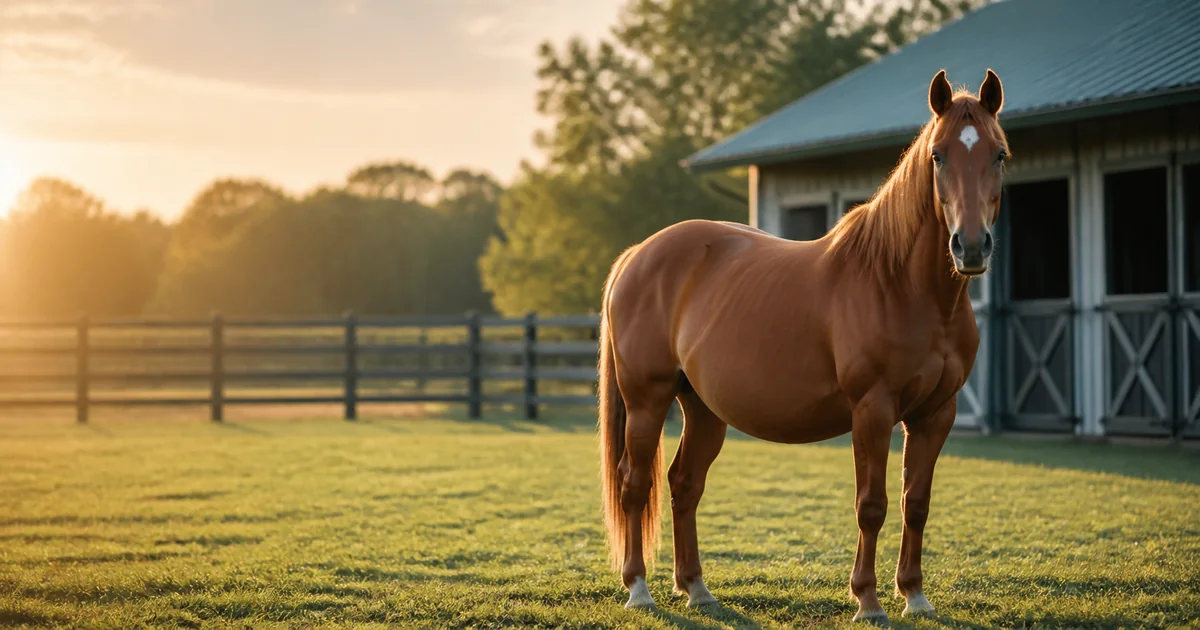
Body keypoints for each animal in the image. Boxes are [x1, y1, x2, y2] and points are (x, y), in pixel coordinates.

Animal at [596, 69, 1009, 625]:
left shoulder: (936, 414)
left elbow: (915, 503)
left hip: (702, 409)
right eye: (938, 155)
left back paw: (698, 589)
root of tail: (638, 254)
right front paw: (867, 600)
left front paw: (915, 596)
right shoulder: (873, 410)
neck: (902, 285)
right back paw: (639, 589)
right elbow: (871, 505)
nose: (970, 246)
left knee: (683, 484)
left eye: (999, 154)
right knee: (635, 484)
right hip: (647, 401)